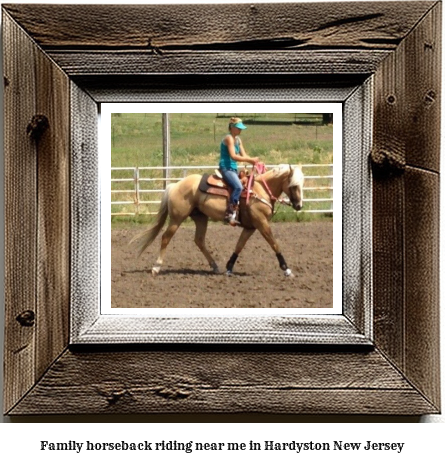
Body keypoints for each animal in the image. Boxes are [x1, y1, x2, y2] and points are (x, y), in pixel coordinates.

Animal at [130, 164, 304, 276]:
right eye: (294, 185)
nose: (299, 205)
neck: (260, 190)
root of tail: (175, 185)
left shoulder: (250, 227)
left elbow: (239, 245)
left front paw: (229, 267)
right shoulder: (261, 223)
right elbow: (274, 243)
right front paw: (286, 269)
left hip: (200, 218)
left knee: (199, 240)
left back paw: (214, 266)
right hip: (176, 218)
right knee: (166, 238)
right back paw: (156, 267)